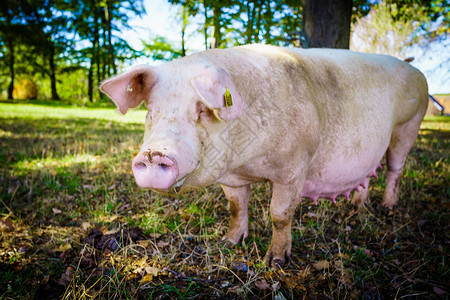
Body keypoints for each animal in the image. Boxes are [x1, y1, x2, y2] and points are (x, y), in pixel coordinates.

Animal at [101, 44, 428, 268]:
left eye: (202, 110)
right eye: (150, 112)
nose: (154, 153)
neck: (247, 163)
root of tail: (415, 71)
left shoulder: (294, 167)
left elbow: (280, 215)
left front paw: (275, 262)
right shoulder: (231, 178)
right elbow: (236, 207)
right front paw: (228, 243)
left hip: (409, 125)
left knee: (394, 168)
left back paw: (387, 207)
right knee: (369, 173)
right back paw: (359, 207)